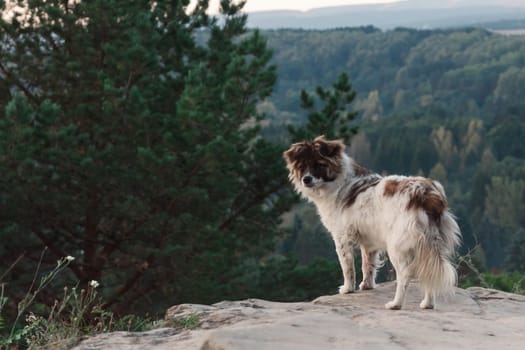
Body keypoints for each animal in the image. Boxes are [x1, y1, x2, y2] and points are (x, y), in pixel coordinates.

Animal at [282, 135, 458, 310]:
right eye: (302, 167)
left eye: (318, 165)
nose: (306, 179)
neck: (339, 181)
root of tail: (424, 194)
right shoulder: (369, 242)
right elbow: (368, 265)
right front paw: (367, 285)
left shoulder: (341, 237)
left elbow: (347, 267)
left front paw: (348, 289)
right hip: (431, 245)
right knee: (429, 272)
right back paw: (428, 304)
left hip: (398, 246)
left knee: (404, 276)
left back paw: (396, 304)